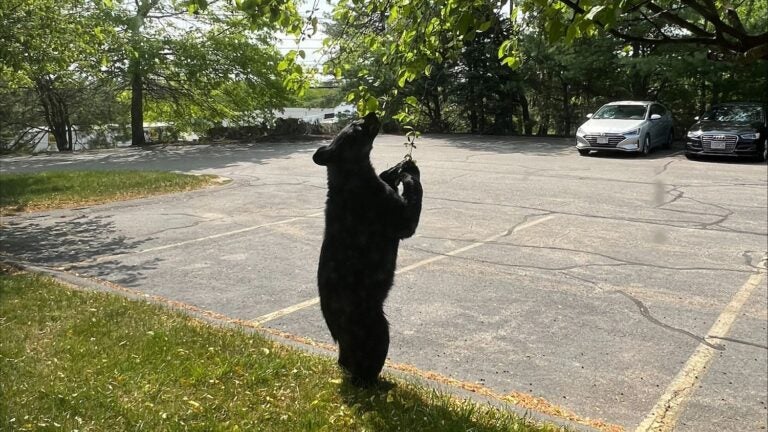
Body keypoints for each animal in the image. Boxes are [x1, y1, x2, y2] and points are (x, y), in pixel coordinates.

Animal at [314, 113, 426, 386]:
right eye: (356, 127)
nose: (371, 114)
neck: (351, 176)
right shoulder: (397, 216)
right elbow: (414, 195)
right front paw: (409, 169)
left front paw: (395, 168)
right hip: (376, 329)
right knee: (365, 367)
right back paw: (377, 384)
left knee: (346, 362)